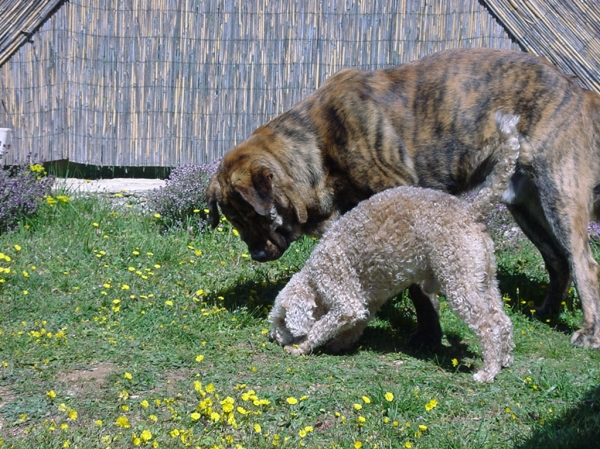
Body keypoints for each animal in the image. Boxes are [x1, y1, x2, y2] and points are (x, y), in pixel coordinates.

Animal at [207, 47, 600, 348]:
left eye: (255, 215)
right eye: (234, 221)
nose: (257, 256)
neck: (320, 142)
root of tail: (580, 91)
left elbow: (418, 291)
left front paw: (428, 336)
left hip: (559, 194)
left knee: (585, 264)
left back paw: (588, 332)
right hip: (524, 205)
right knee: (558, 260)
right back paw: (547, 312)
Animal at [268, 113, 520, 382]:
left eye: (282, 320)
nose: (273, 337)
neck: (314, 276)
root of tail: (471, 211)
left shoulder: (344, 297)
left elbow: (322, 326)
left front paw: (301, 347)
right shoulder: (367, 300)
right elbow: (356, 324)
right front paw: (340, 344)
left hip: (460, 282)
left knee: (488, 326)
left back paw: (488, 371)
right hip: (483, 278)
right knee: (502, 320)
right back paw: (504, 359)